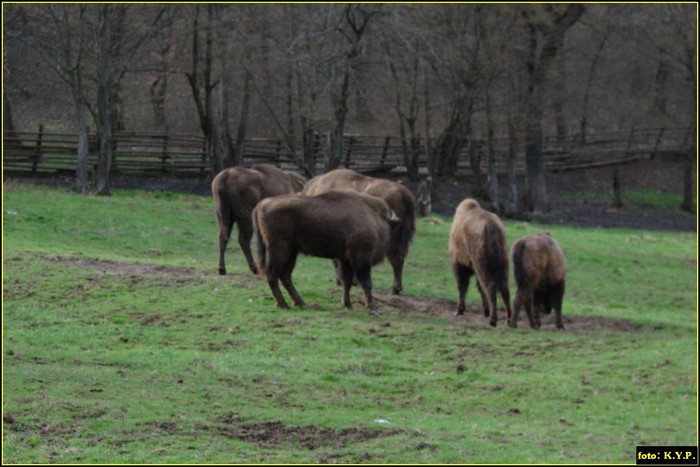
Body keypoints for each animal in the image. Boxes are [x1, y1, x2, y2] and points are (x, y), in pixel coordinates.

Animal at [252, 189, 396, 314]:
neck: (373, 216)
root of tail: (261, 204)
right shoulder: (361, 258)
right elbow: (367, 283)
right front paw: (373, 309)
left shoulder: (345, 260)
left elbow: (347, 282)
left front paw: (348, 304)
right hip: (280, 251)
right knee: (272, 275)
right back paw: (284, 305)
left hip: (291, 253)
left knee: (285, 276)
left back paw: (301, 303)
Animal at [448, 199, 516, 328]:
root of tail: (492, 228)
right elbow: (479, 288)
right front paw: (485, 310)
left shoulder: (459, 264)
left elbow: (462, 287)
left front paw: (459, 310)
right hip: (503, 264)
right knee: (504, 288)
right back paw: (509, 320)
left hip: (482, 265)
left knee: (490, 286)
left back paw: (493, 320)